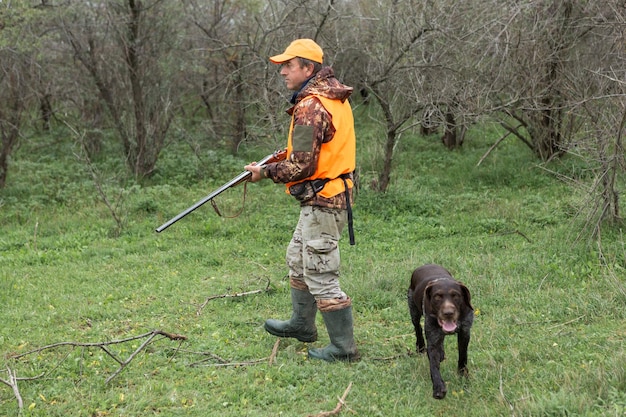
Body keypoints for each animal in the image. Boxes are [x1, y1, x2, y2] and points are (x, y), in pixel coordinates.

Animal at [404, 264, 472, 398]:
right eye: (437, 297)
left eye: (456, 295)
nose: (448, 313)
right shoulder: (432, 339)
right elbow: (433, 366)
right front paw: (438, 387)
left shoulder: (465, 333)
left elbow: (463, 356)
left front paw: (463, 376)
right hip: (413, 308)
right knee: (417, 328)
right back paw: (420, 346)